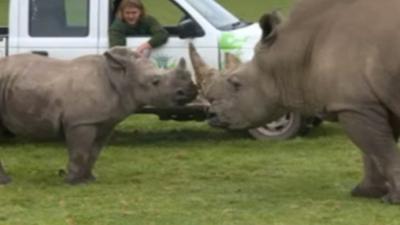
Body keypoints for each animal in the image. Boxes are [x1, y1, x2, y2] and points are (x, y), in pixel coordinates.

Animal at [0, 46, 198, 184]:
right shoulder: (81, 122)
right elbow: (80, 151)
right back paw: (7, 182)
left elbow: (94, 151)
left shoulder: (104, 121)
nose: (191, 91)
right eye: (155, 82)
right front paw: (72, 182)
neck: (121, 78)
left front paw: (90, 179)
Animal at [188, 0, 400, 203]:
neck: (297, 52)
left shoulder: (356, 105)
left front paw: (391, 199)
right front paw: (364, 193)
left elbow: (380, 151)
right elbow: (373, 152)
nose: (211, 114)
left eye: (236, 84)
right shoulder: (365, 103)